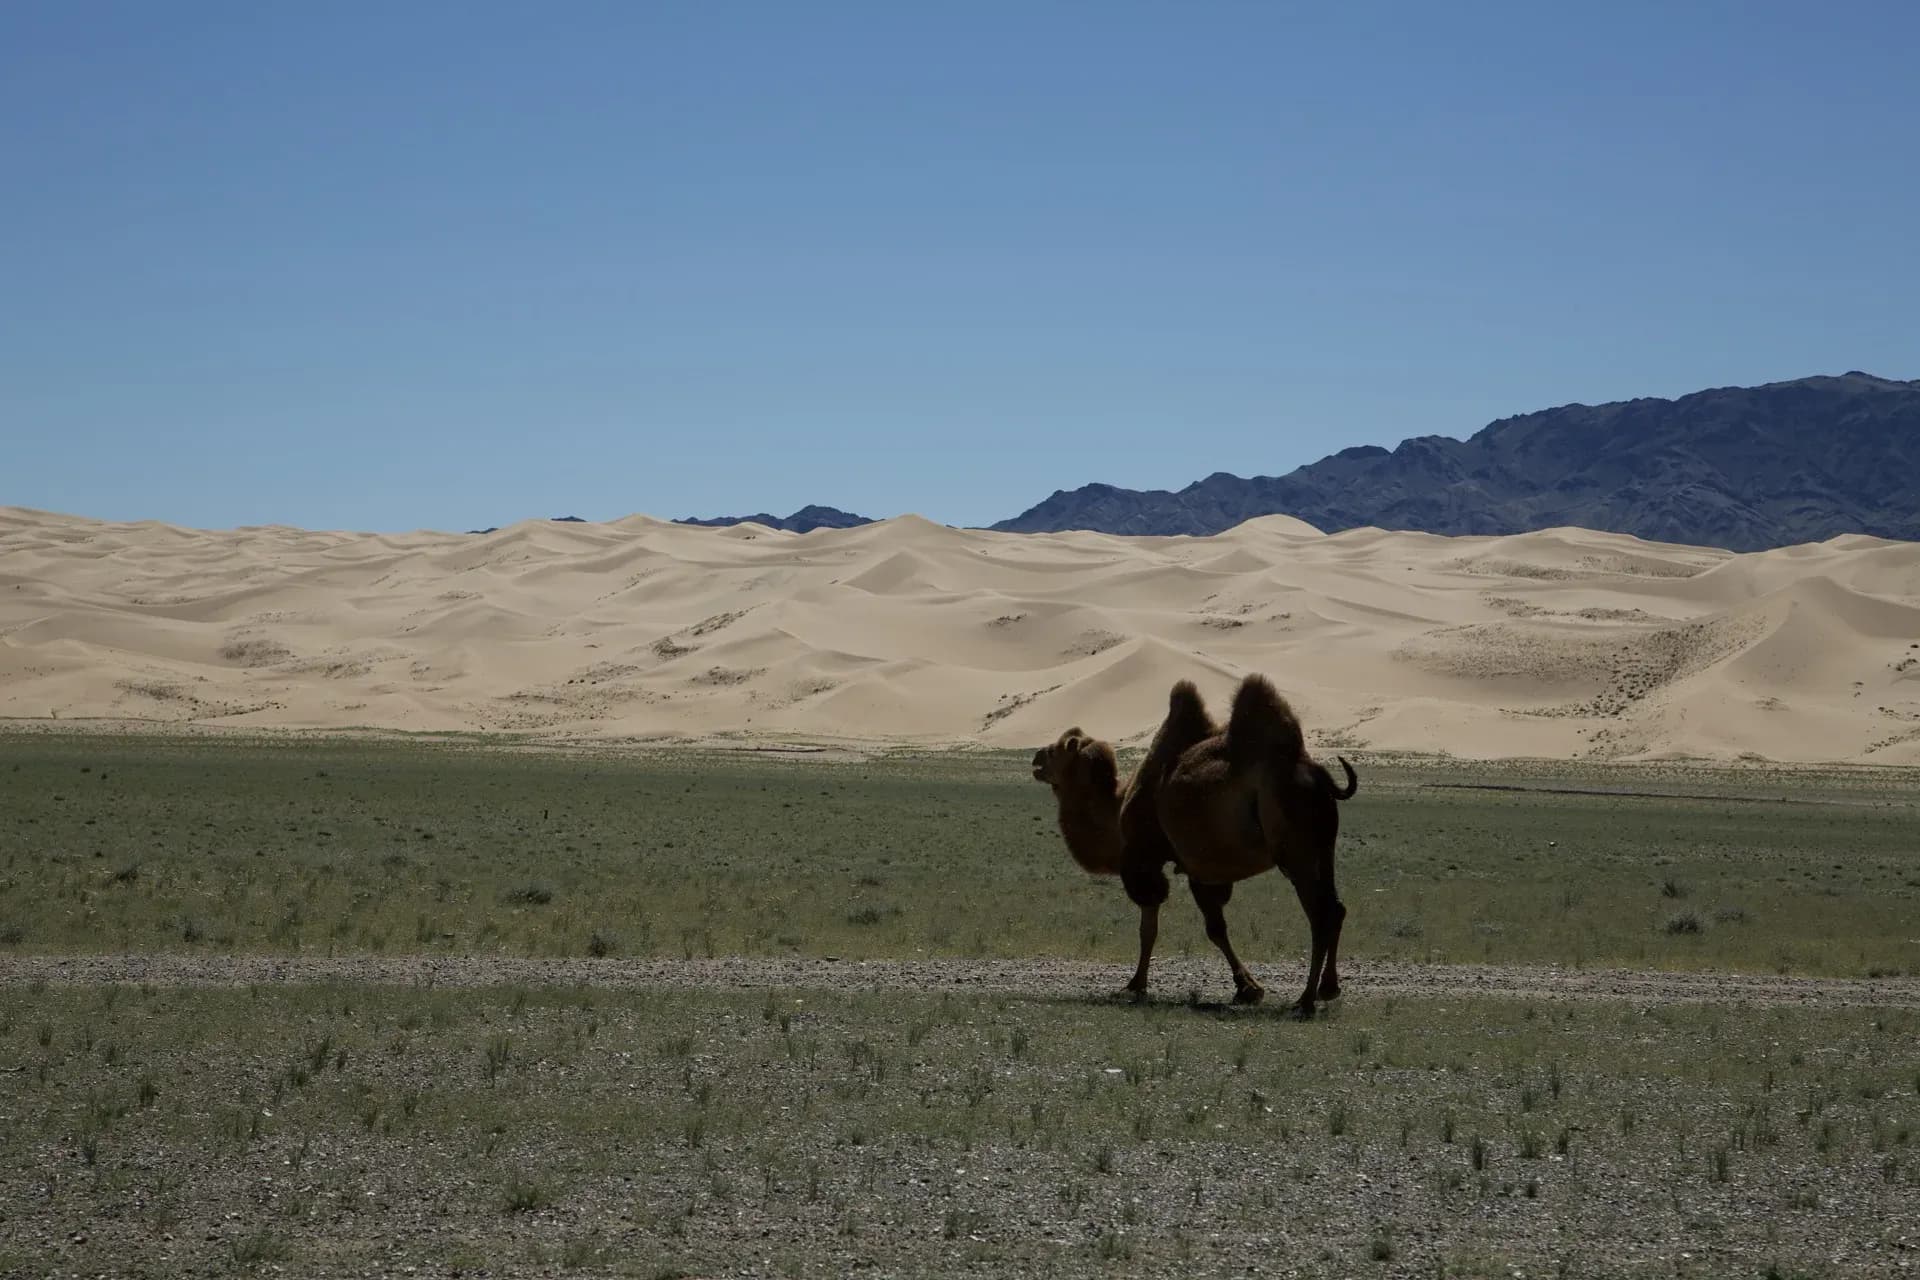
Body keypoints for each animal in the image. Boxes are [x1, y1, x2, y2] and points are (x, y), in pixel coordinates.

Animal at [1031, 674, 1358, 1017]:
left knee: (1320, 913)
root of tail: (1319, 777)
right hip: (1324, 847)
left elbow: (1149, 927)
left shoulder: (1143, 856)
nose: (1036, 757)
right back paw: (1328, 989)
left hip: (1296, 850)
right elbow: (1216, 928)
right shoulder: (1202, 869)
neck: (1119, 805)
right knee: (1336, 908)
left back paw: (1305, 1000)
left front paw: (1134, 986)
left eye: (1056, 750)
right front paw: (1247, 989)